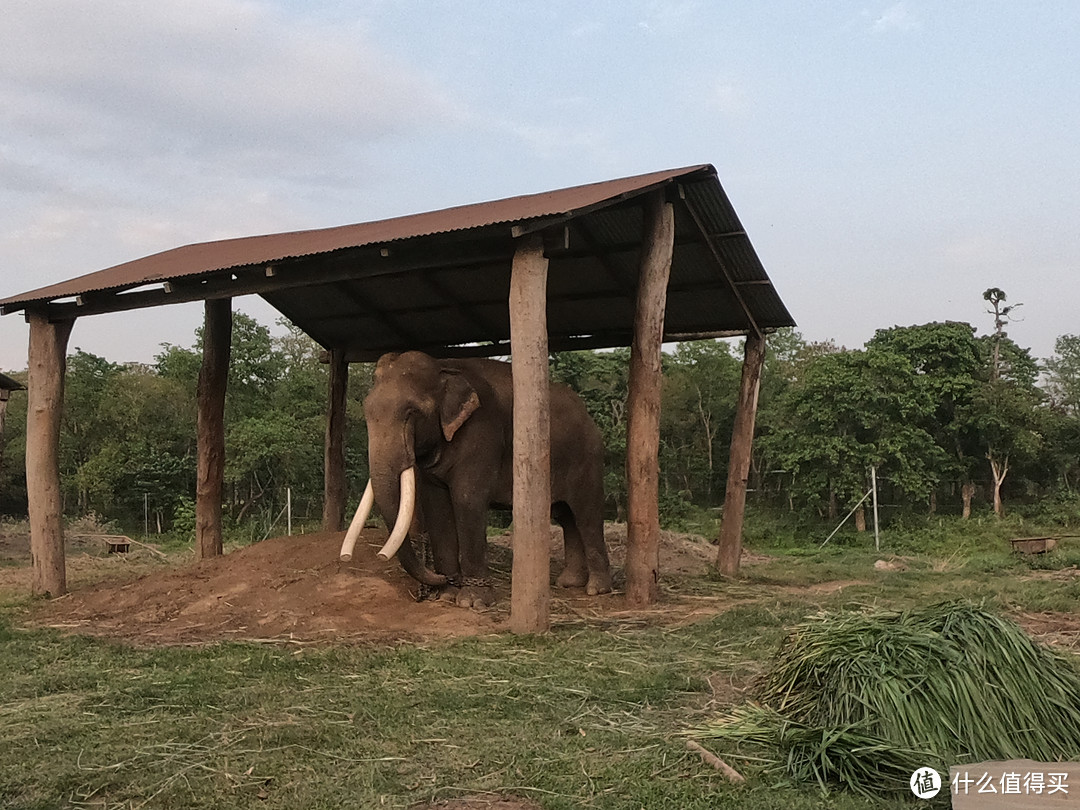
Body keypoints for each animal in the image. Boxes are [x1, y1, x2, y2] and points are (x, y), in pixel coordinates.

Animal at [339, 349, 609, 609]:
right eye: (367, 411)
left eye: (413, 412)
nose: (437, 580)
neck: (443, 366)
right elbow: (437, 506)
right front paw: (447, 596)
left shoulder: (481, 434)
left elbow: (467, 501)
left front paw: (473, 602)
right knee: (566, 517)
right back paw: (569, 583)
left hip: (587, 458)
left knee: (586, 516)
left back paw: (597, 589)